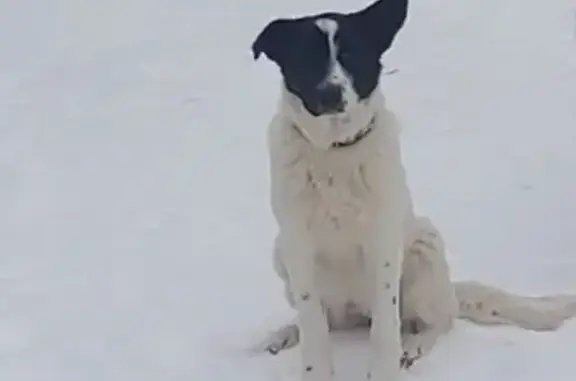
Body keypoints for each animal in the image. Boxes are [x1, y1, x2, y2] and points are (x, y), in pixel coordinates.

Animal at [251, 0, 576, 380]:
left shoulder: (383, 245)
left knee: (438, 322)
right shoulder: (298, 245)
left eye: (352, 55)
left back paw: (413, 345)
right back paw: (287, 333)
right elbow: (314, 327)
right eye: (306, 57)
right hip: (283, 256)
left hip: (424, 247)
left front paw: (385, 370)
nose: (331, 93)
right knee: (329, 323)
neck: (334, 151)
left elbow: (385, 331)